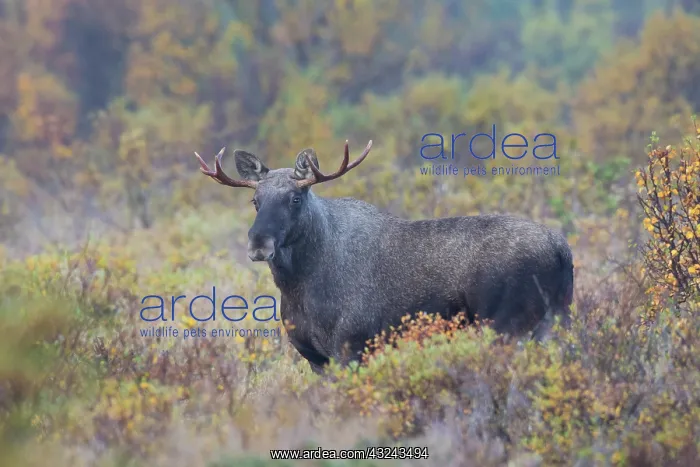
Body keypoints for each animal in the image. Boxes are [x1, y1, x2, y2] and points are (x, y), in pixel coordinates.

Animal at [194, 140, 574, 374]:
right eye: (255, 201)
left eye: (295, 199)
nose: (259, 243)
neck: (299, 287)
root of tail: (562, 249)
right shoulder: (315, 357)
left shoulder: (352, 346)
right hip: (553, 321)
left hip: (506, 325)